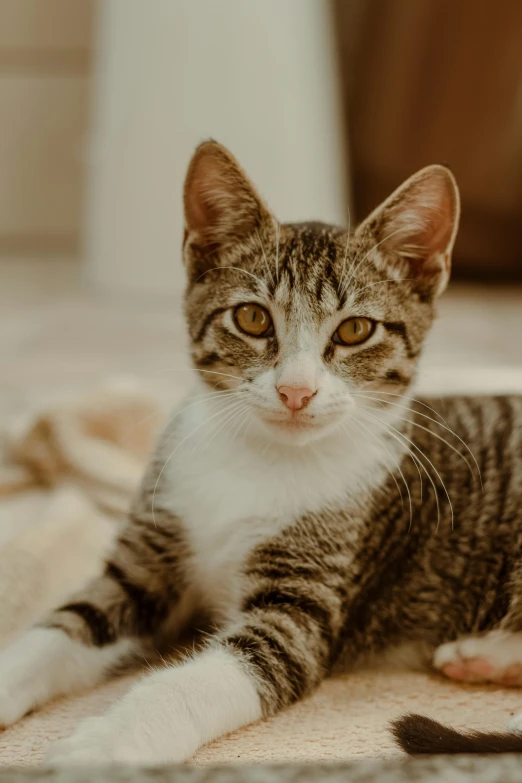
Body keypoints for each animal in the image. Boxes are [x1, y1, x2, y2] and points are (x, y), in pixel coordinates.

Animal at [1, 142, 520, 764]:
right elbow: (62, 627)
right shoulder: (145, 565)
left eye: (355, 330)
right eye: (251, 317)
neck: (259, 458)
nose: (296, 391)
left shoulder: (301, 611)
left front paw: (104, 745)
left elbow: (196, 684)